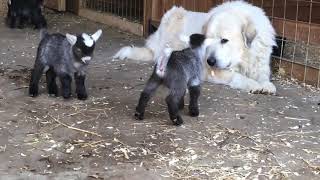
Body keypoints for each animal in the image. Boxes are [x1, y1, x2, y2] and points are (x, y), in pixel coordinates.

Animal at [114, 0, 276, 94]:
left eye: (224, 40)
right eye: (207, 40)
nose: (210, 61)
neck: (244, 57)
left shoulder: (260, 64)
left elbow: (263, 76)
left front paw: (267, 85)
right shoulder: (212, 71)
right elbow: (237, 76)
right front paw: (253, 84)